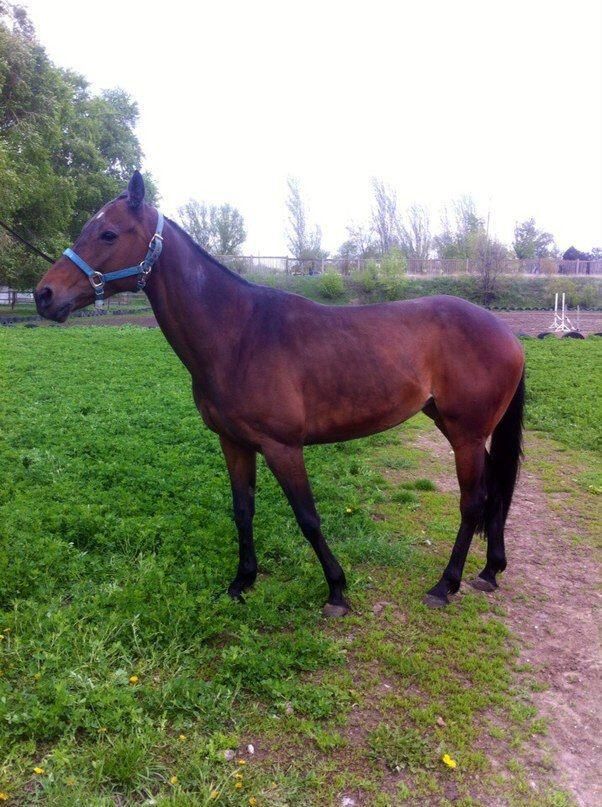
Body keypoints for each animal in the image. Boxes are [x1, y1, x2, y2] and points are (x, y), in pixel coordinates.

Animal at [34, 171, 525, 617]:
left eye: (108, 233)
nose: (44, 295)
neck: (238, 334)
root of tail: (508, 333)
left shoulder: (282, 447)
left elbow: (307, 517)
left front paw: (336, 591)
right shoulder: (233, 443)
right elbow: (243, 511)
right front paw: (242, 582)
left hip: (464, 435)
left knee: (473, 503)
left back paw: (446, 584)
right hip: (455, 427)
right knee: (495, 492)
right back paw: (489, 572)